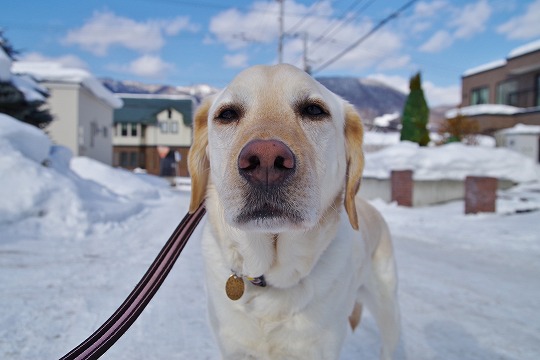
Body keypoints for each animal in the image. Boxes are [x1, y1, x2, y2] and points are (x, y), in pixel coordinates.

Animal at [188, 64, 398, 360]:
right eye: (227, 114)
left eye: (314, 110)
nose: (265, 160)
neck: (272, 279)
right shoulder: (233, 349)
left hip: (388, 309)